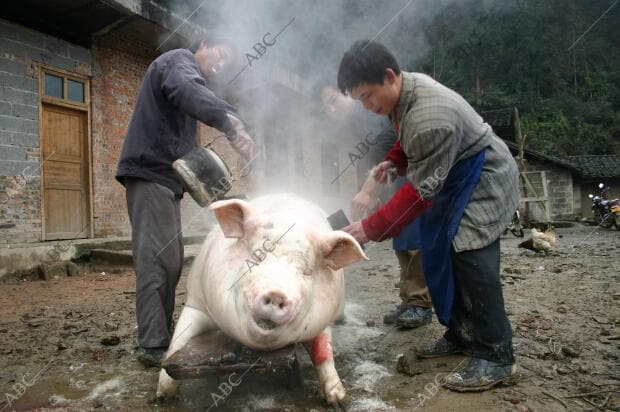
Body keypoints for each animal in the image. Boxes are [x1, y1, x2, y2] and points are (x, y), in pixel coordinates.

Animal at [156, 195, 368, 404]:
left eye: (307, 271)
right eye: (257, 256)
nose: (276, 293)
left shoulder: (321, 321)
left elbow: (323, 350)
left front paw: (338, 399)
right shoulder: (197, 302)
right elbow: (177, 342)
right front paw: (164, 395)